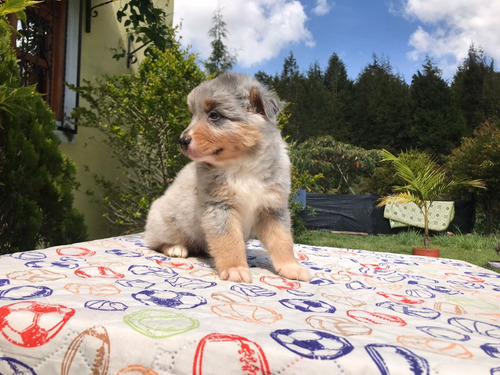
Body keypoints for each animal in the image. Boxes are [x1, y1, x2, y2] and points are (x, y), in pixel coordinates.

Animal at [143, 72, 310, 284]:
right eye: (192, 115)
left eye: (214, 115)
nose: (182, 141)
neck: (244, 165)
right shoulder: (219, 207)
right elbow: (229, 241)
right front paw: (235, 269)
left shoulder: (272, 207)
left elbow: (283, 241)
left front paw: (291, 267)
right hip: (164, 221)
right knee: (155, 242)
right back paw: (176, 248)